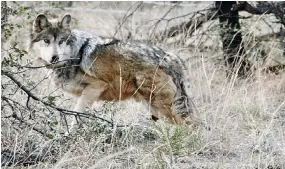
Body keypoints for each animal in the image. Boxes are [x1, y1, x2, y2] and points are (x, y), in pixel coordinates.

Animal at [28, 13, 193, 125]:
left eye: (62, 41)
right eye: (46, 41)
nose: (54, 58)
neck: (74, 55)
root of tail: (170, 57)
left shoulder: (95, 87)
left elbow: (77, 116)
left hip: (161, 106)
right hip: (153, 107)